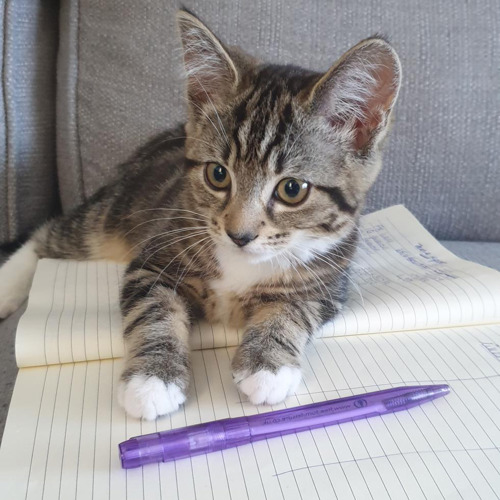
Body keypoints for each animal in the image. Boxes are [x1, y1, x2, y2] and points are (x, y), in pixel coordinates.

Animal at [0, 10, 400, 418]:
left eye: (292, 190)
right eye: (218, 174)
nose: (239, 235)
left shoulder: (330, 281)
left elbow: (293, 308)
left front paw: (267, 365)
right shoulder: (154, 258)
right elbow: (154, 309)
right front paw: (153, 378)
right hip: (116, 211)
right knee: (50, 236)